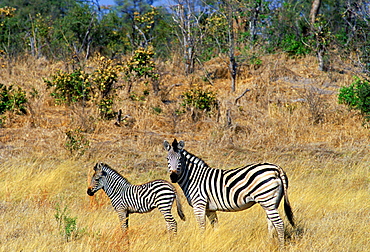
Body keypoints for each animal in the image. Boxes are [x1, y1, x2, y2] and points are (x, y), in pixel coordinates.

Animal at [163, 139, 294, 245]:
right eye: (167, 159)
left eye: (180, 159)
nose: (173, 177)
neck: (194, 177)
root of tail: (276, 168)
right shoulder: (209, 208)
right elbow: (215, 227)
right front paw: (216, 241)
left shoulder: (199, 204)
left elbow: (201, 226)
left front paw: (201, 241)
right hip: (271, 202)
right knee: (271, 223)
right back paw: (269, 242)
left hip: (266, 199)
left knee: (279, 224)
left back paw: (281, 246)